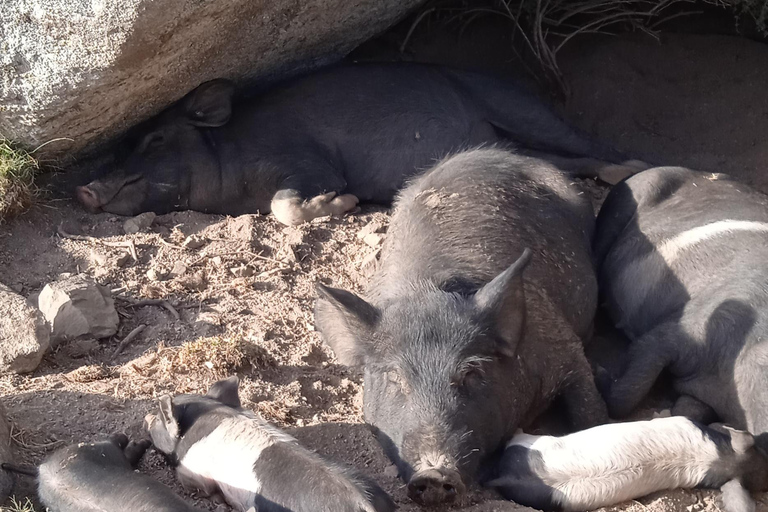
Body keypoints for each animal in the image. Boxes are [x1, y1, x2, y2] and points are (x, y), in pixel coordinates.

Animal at [76, 61, 636, 224]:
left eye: (155, 137)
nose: (83, 188)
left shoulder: (304, 160)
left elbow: (284, 204)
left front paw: (342, 201)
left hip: (514, 103)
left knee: (586, 142)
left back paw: (630, 167)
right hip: (507, 141)